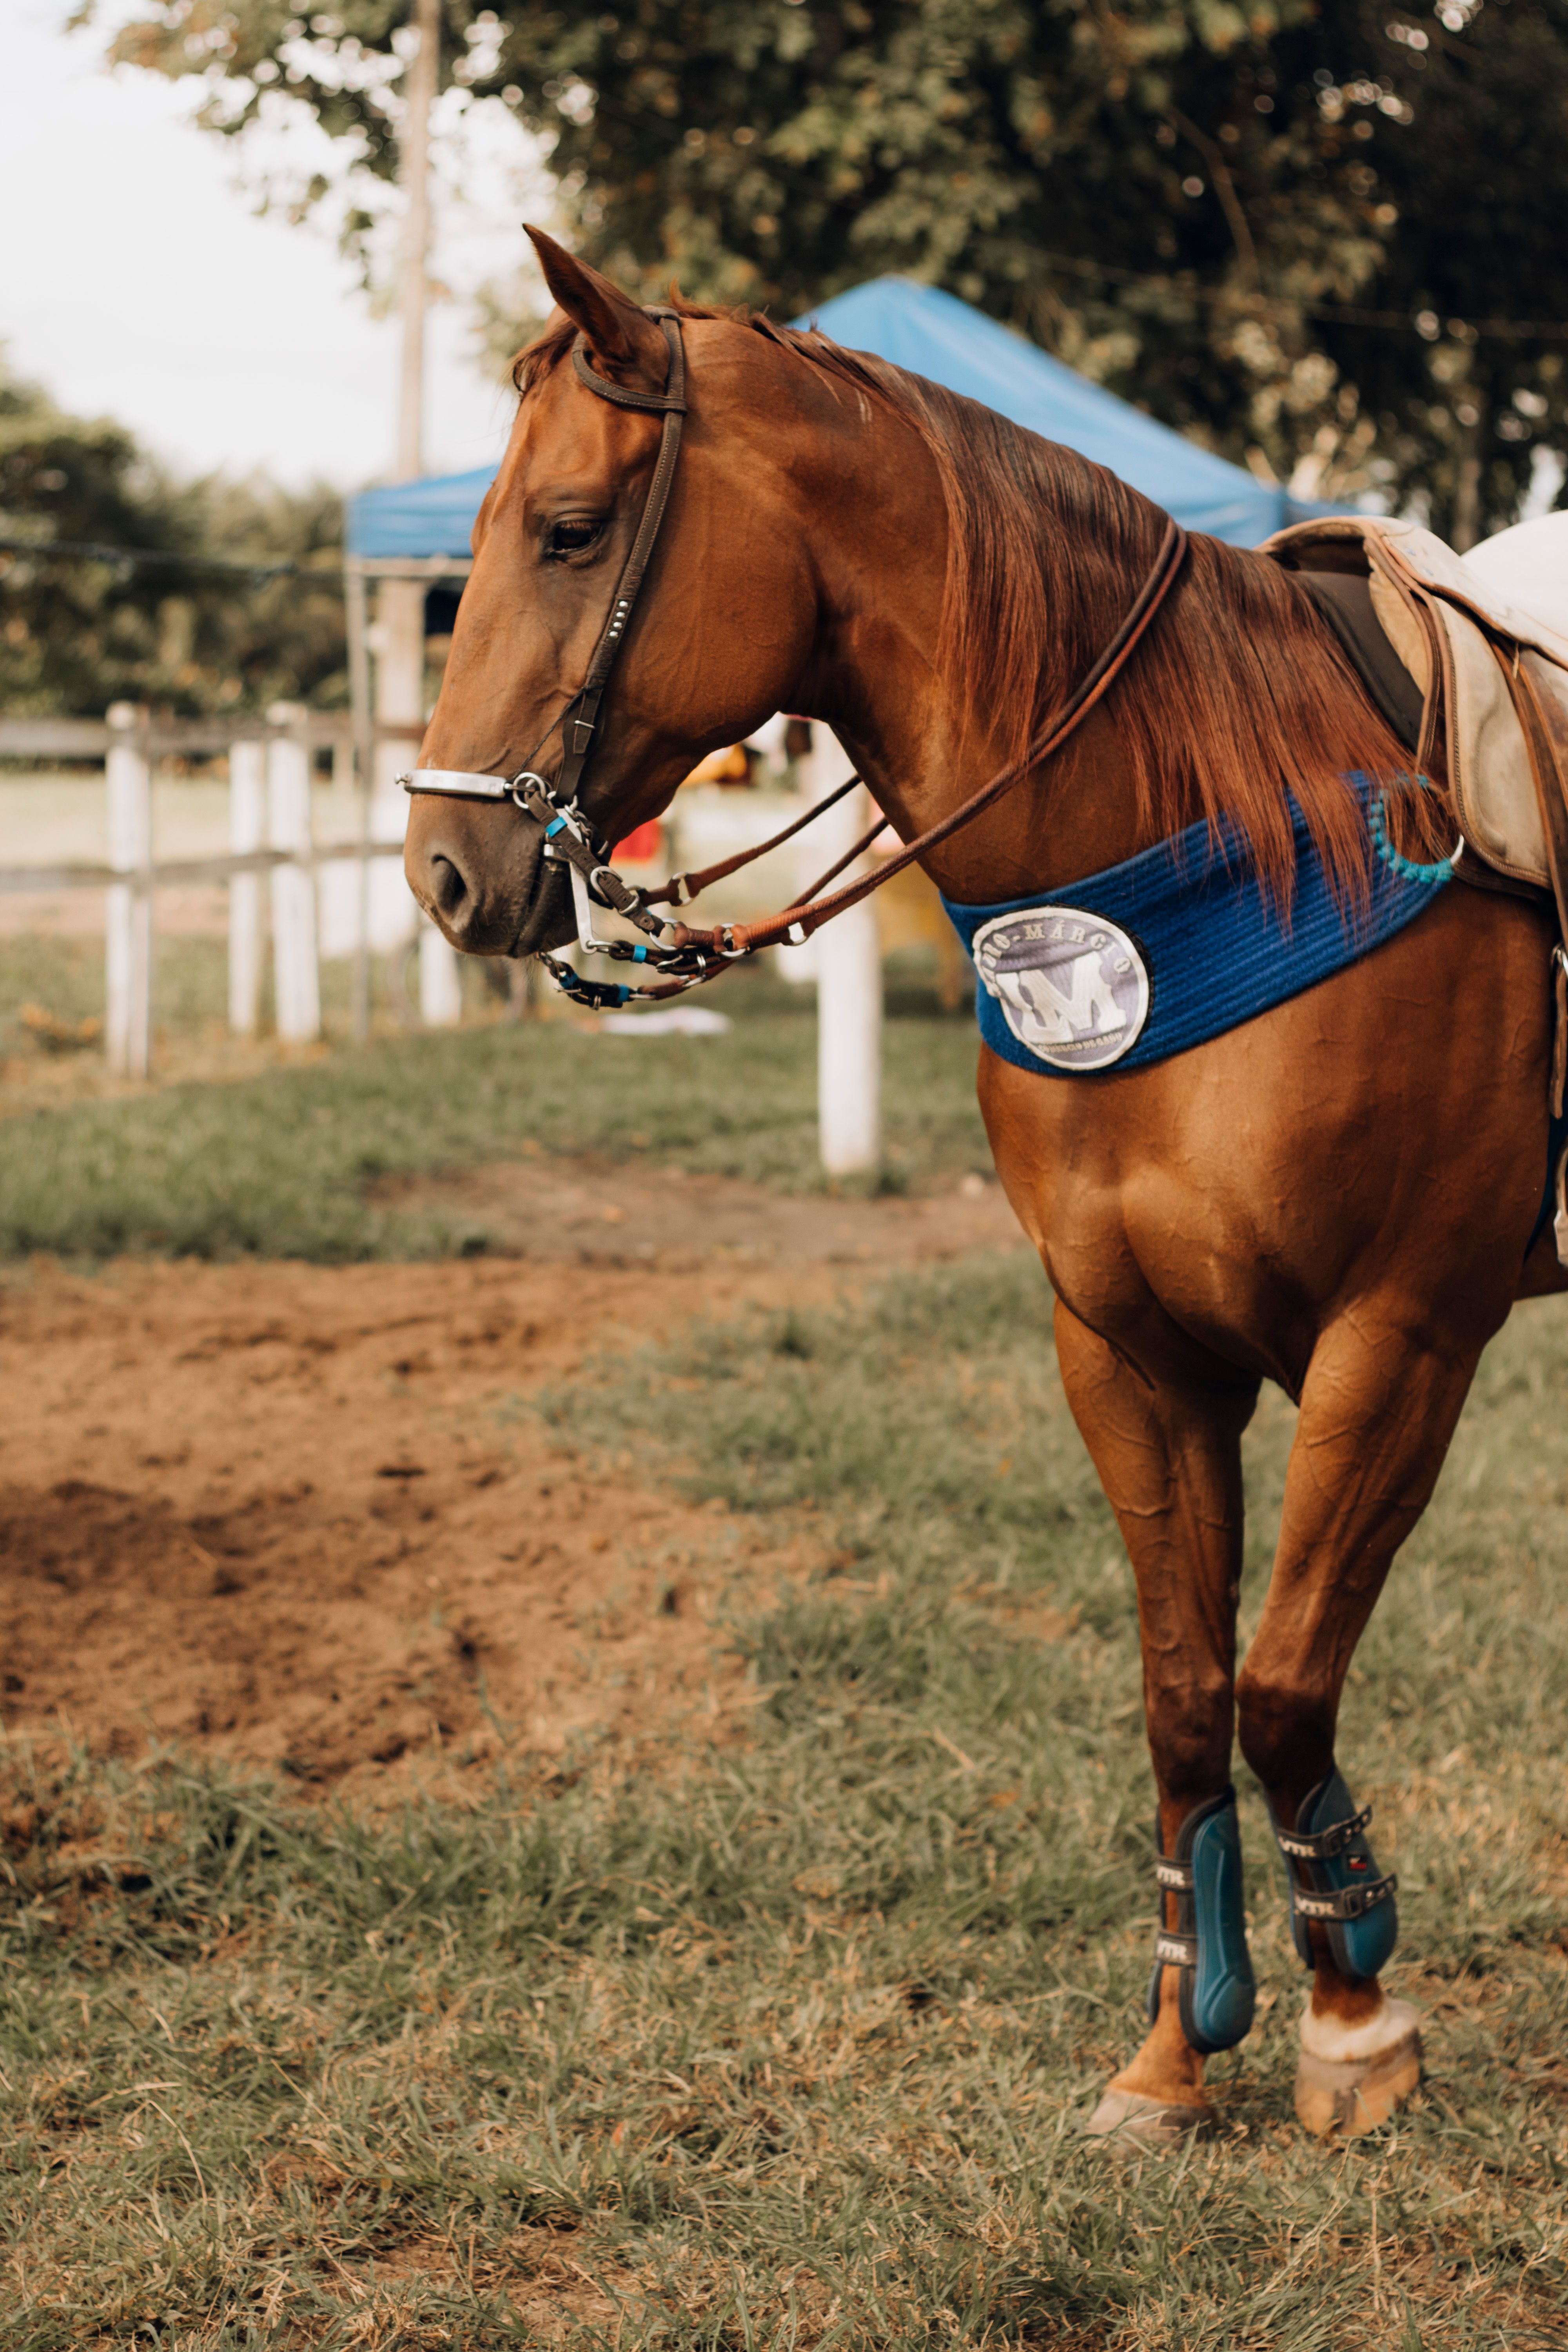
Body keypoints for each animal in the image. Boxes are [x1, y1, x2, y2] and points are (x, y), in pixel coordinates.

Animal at [403, 227, 1567, 2146]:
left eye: (568, 528)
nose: (442, 866)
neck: (1227, 841)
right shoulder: (1124, 1349)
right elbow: (1181, 1693)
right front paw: (1175, 2049)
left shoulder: (1398, 1338)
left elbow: (1281, 1683)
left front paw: (1351, 2016)